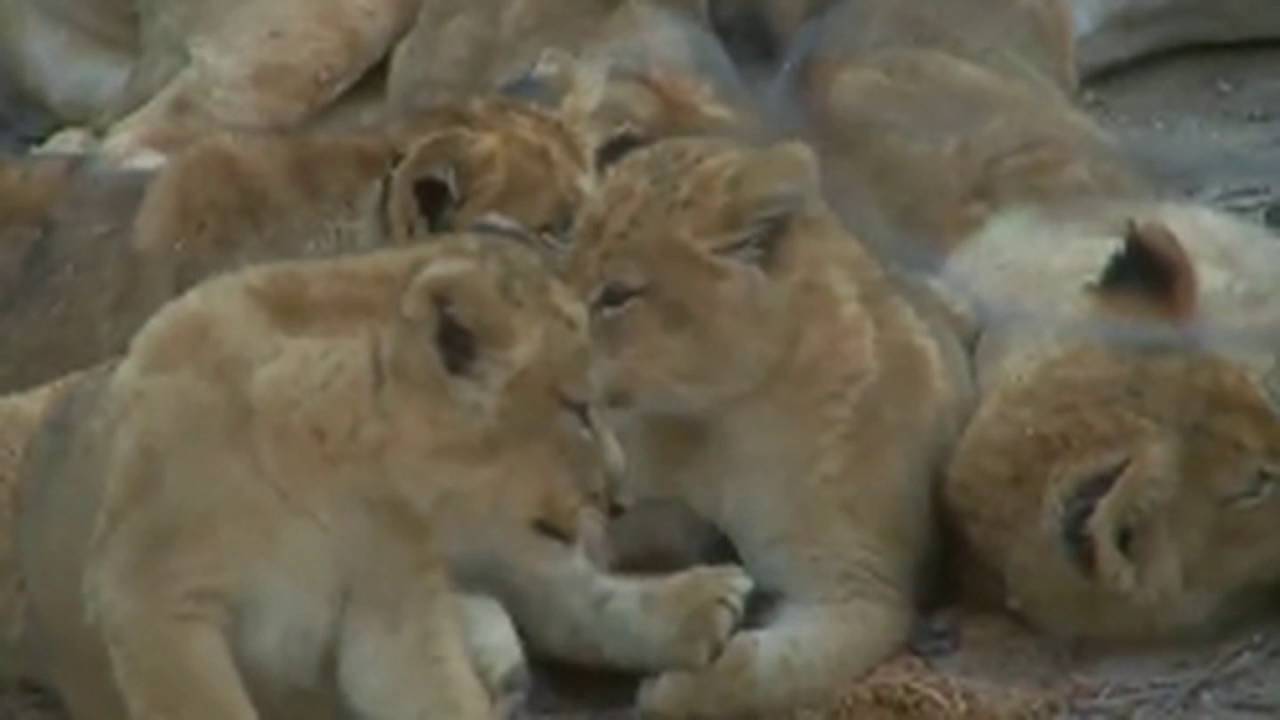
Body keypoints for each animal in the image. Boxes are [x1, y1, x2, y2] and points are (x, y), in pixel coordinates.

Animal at [15, 234, 753, 720]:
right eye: (575, 407)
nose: (620, 497)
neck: (337, 467)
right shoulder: (149, 595)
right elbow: (202, 706)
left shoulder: (392, 605)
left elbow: (437, 692)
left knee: (560, 596)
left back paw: (703, 603)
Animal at [566, 136, 974, 717]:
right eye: (565, 264)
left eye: (617, 294)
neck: (715, 420)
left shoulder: (859, 587)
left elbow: (759, 672)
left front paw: (673, 688)